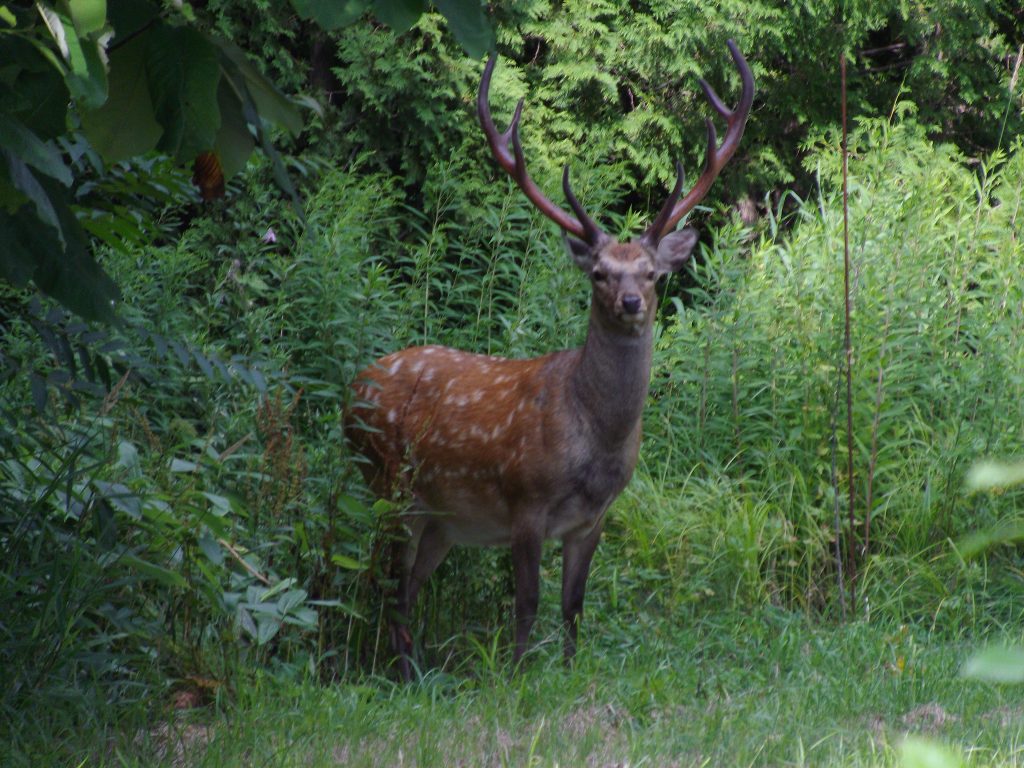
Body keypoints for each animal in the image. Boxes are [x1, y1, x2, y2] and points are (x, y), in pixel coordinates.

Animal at [344, 40, 753, 679]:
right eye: (600, 274)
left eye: (651, 272)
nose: (631, 302)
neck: (596, 440)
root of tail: (350, 390)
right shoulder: (525, 501)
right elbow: (528, 602)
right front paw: (515, 677)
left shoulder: (594, 517)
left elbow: (573, 605)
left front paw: (568, 670)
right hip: (387, 479)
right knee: (386, 585)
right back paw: (405, 674)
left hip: (441, 517)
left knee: (405, 587)